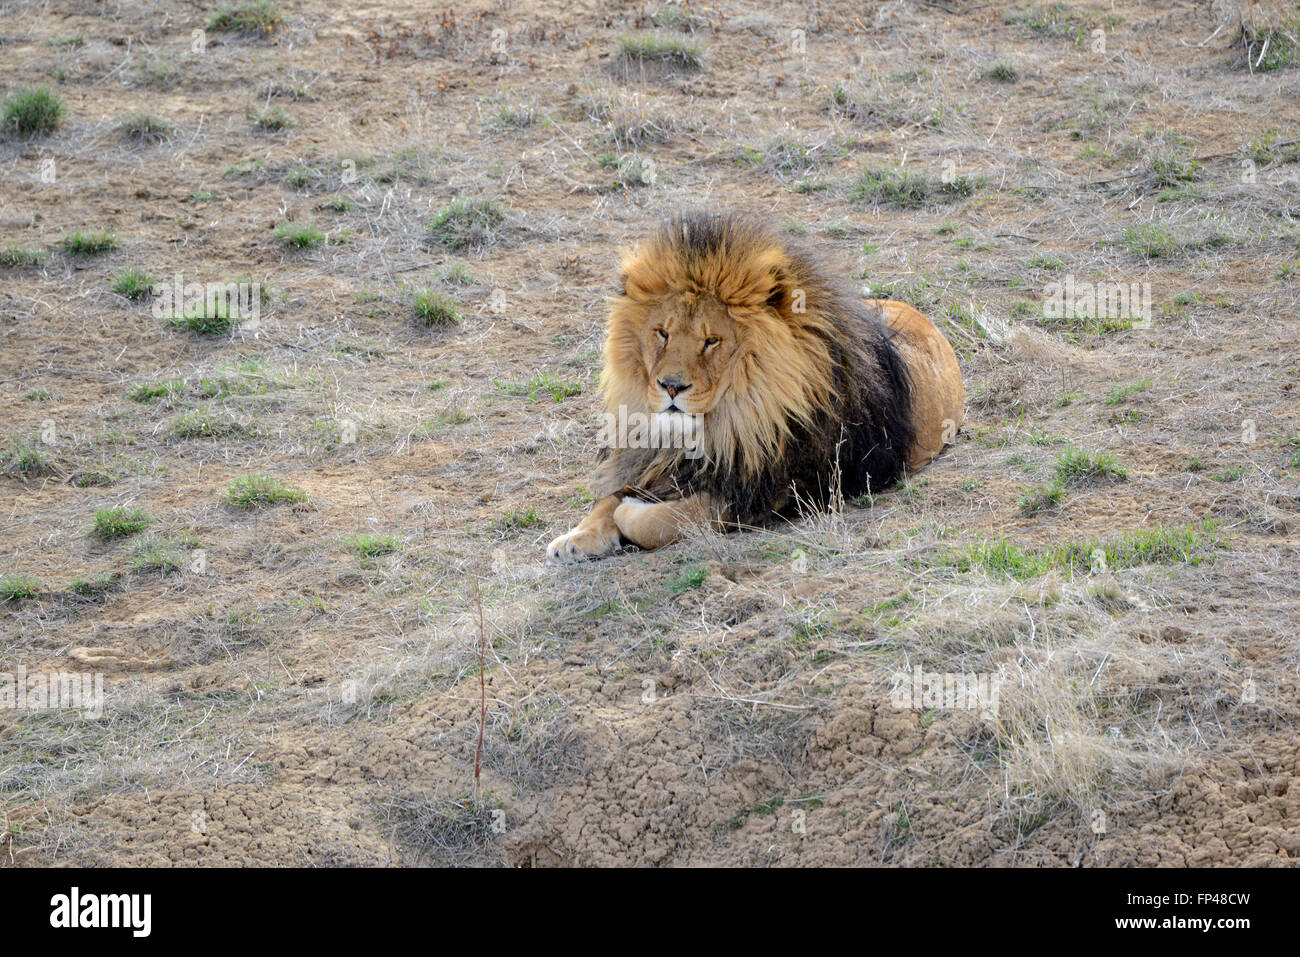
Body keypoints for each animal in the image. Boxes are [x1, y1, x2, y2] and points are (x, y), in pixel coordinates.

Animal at [547, 212, 964, 562]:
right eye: (662, 334)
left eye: (711, 341)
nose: (670, 386)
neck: (729, 422)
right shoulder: (657, 463)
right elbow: (607, 499)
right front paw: (575, 537)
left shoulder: (772, 492)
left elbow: (665, 520)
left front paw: (631, 512)